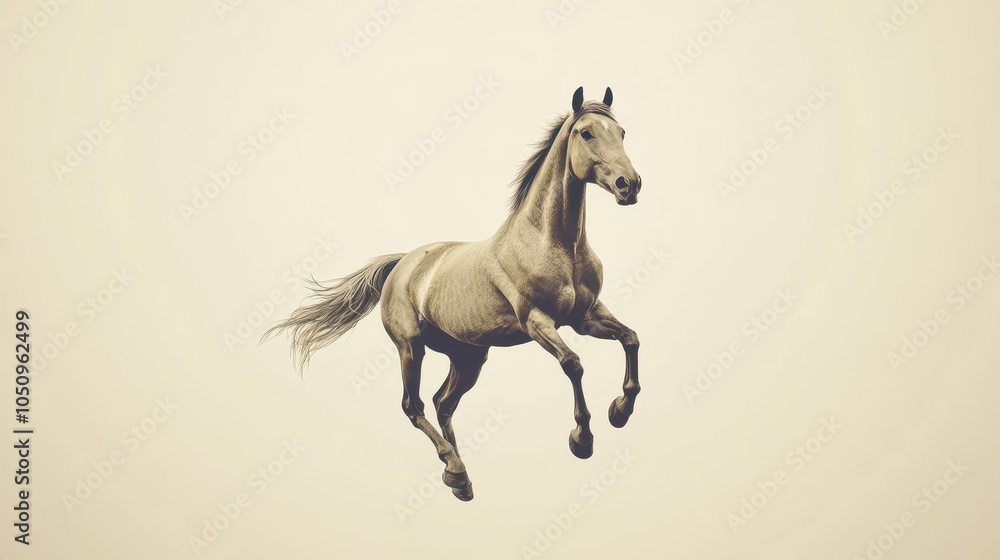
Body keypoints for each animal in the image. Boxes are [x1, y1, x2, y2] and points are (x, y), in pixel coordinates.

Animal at [263, 86, 642, 501]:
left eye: (622, 132)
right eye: (586, 133)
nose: (629, 184)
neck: (553, 243)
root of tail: (403, 262)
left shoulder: (585, 316)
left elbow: (631, 338)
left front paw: (620, 411)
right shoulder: (537, 321)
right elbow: (573, 364)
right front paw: (582, 439)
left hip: (468, 357)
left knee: (442, 404)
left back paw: (459, 479)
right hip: (411, 347)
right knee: (413, 406)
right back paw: (456, 468)